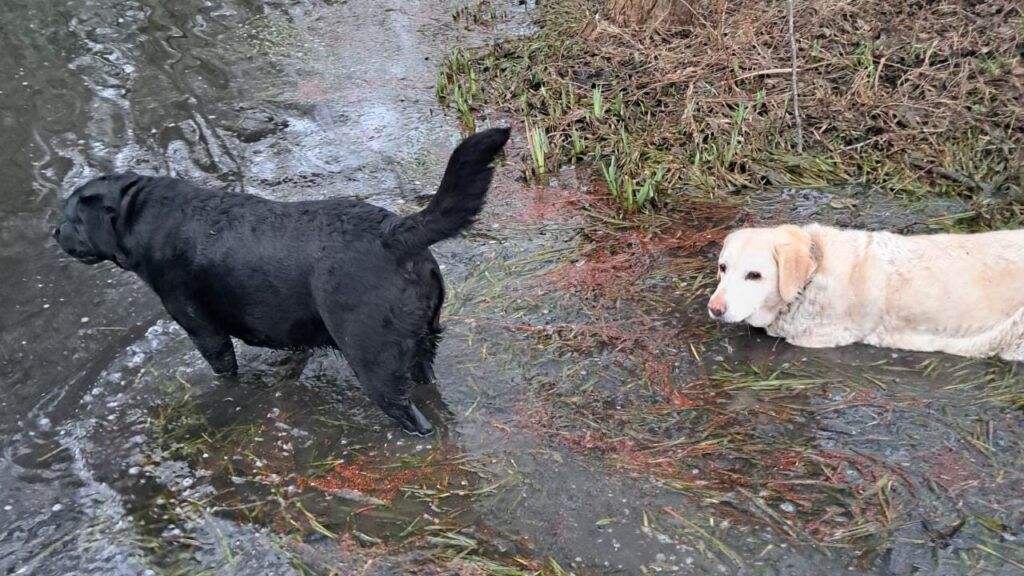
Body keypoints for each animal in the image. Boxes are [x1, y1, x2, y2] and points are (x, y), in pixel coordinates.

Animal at [54, 129, 509, 434]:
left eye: (71, 218)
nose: (53, 232)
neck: (145, 215)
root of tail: (397, 231)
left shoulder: (203, 329)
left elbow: (223, 368)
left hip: (373, 356)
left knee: (408, 413)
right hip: (422, 342)